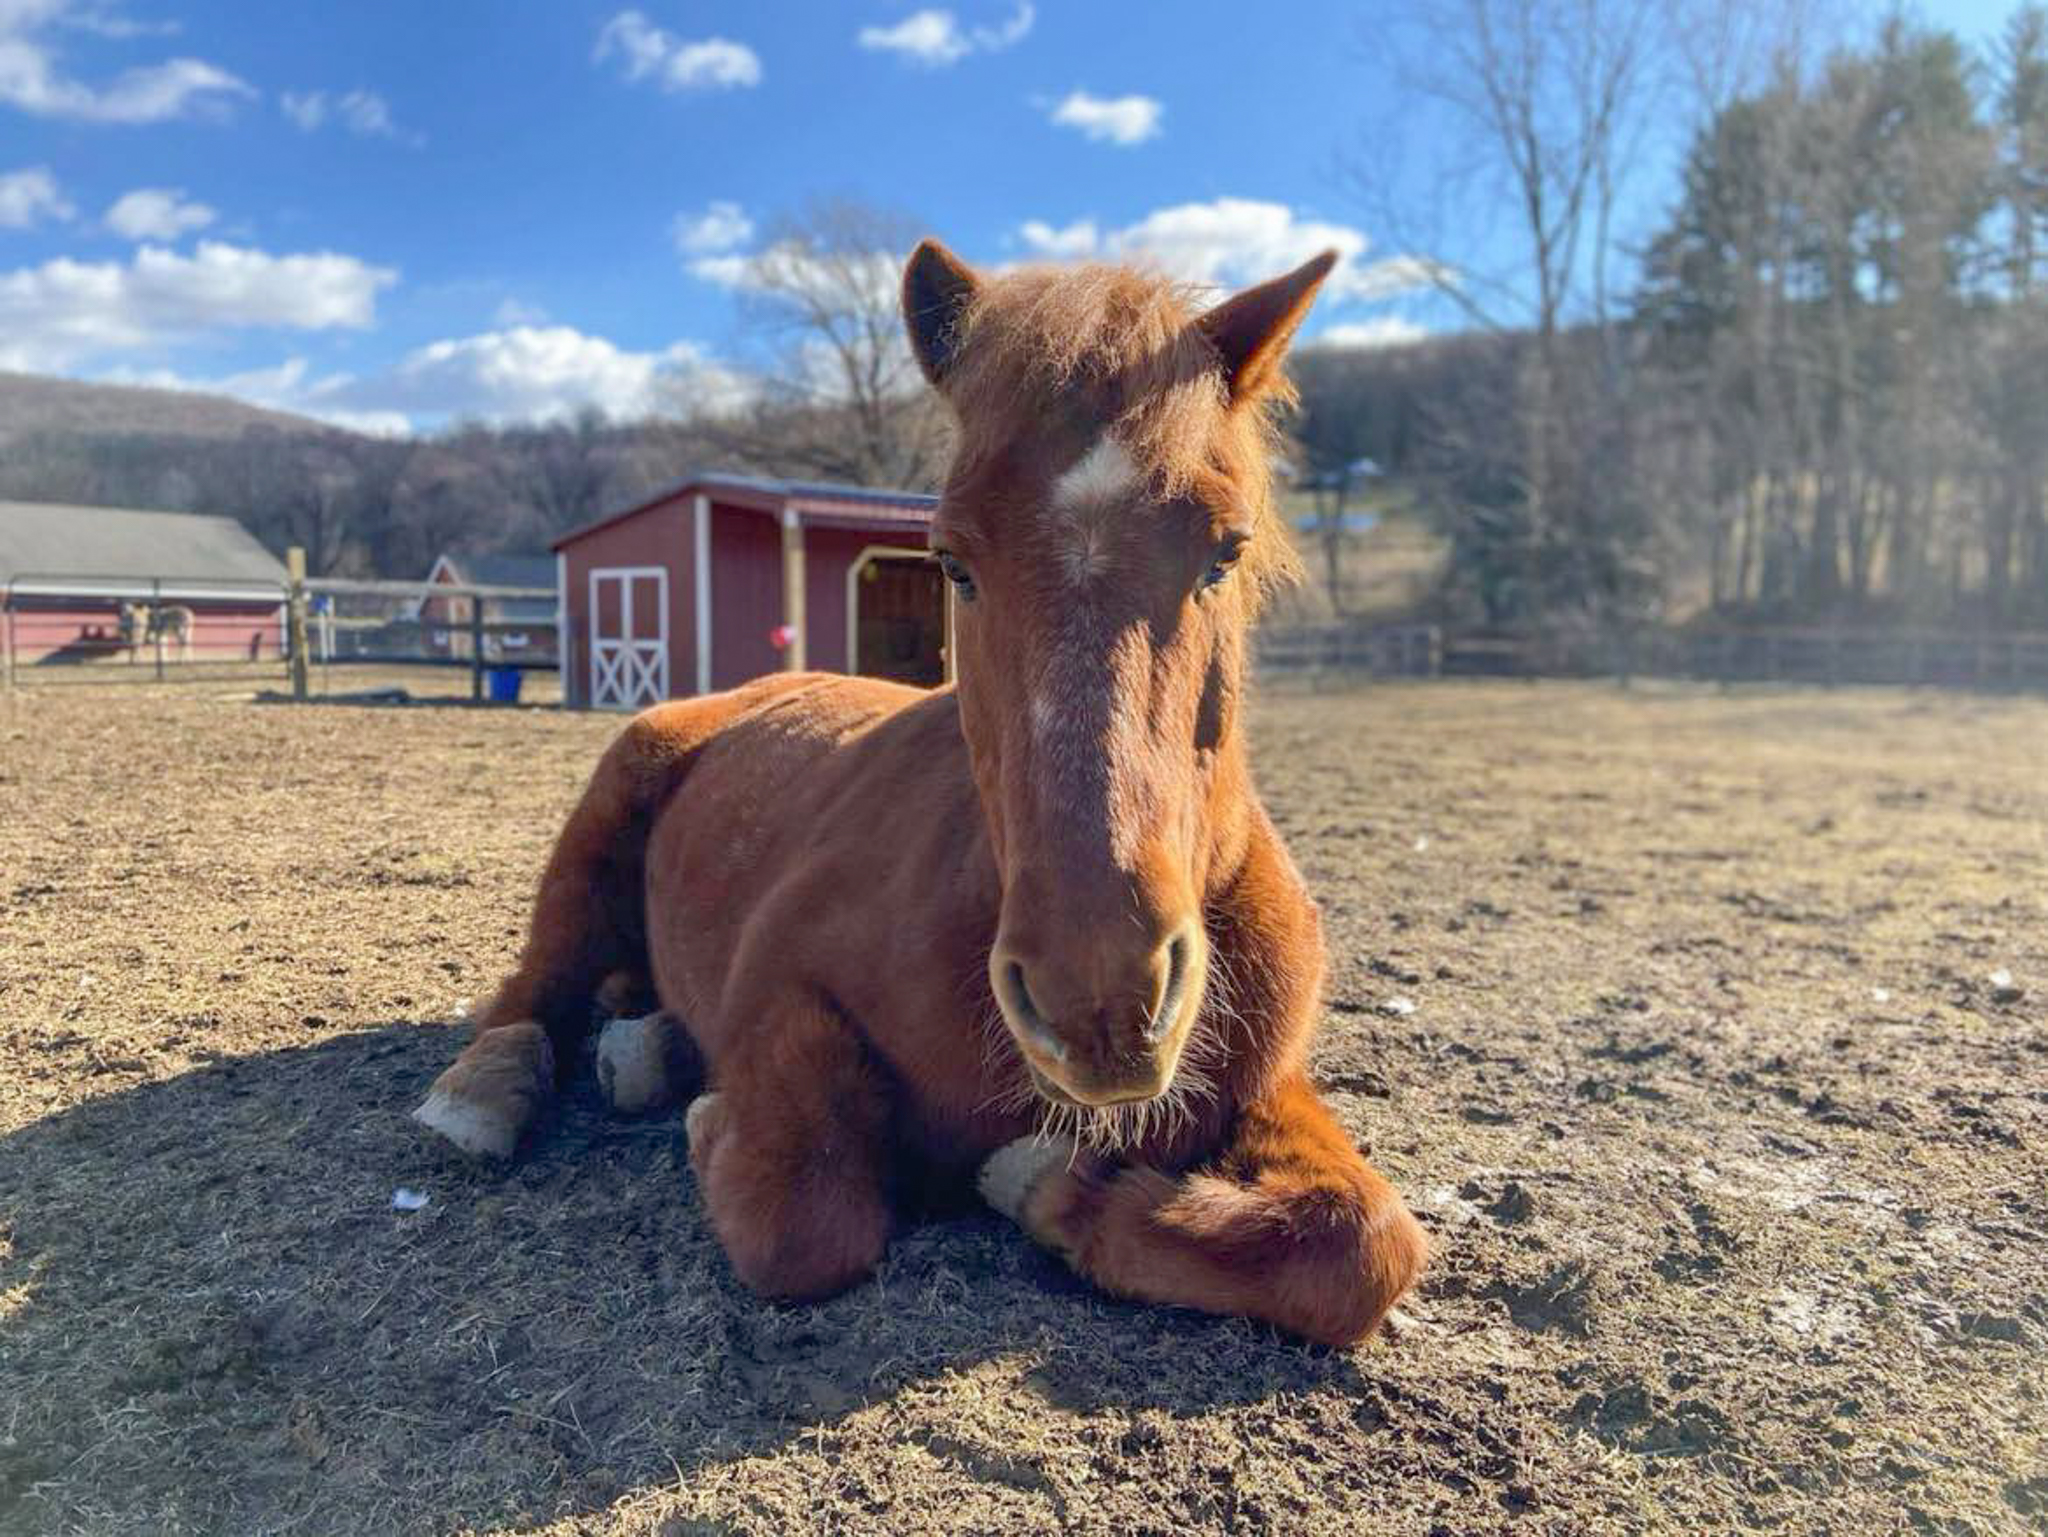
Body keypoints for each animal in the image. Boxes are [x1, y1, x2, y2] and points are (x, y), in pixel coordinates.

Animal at [413, 243, 1428, 1346]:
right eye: (951, 561)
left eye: (1225, 551)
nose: (1098, 1001)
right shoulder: (778, 995)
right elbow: (804, 1220)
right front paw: (712, 1118)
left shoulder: (1265, 1086)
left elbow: (1359, 1245)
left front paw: (1049, 1185)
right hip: (604, 810)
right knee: (538, 986)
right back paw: (492, 1090)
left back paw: (648, 1044)